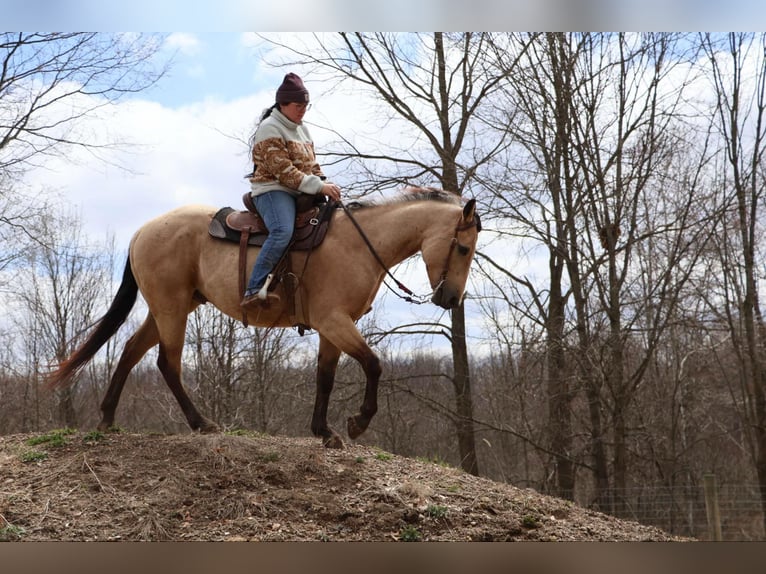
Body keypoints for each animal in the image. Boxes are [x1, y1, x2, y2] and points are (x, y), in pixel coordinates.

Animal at [47, 188, 481, 448]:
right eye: (462, 248)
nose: (450, 298)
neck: (360, 244)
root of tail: (141, 231)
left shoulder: (332, 328)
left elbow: (325, 378)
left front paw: (324, 431)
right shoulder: (335, 321)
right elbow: (374, 364)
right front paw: (357, 423)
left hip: (170, 307)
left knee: (130, 350)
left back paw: (107, 417)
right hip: (171, 308)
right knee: (166, 364)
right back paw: (202, 423)